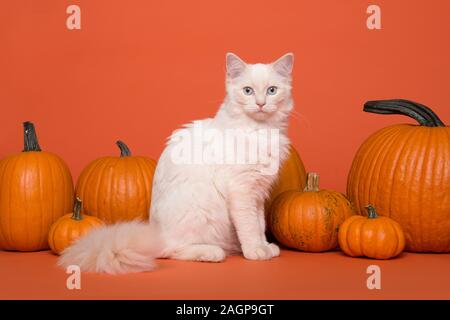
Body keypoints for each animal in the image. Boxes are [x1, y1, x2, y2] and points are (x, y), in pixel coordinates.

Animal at [59, 52, 294, 272]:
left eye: (272, 90)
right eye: (248, 91)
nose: (261, 104)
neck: (260, 131)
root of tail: (155, 235)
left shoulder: (258, 192)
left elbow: (259, 223)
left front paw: (266, 246)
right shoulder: (242, 190)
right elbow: (249, 226)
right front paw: (255, 250)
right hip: (202, 211)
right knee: (172, 250)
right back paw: (211, 252)